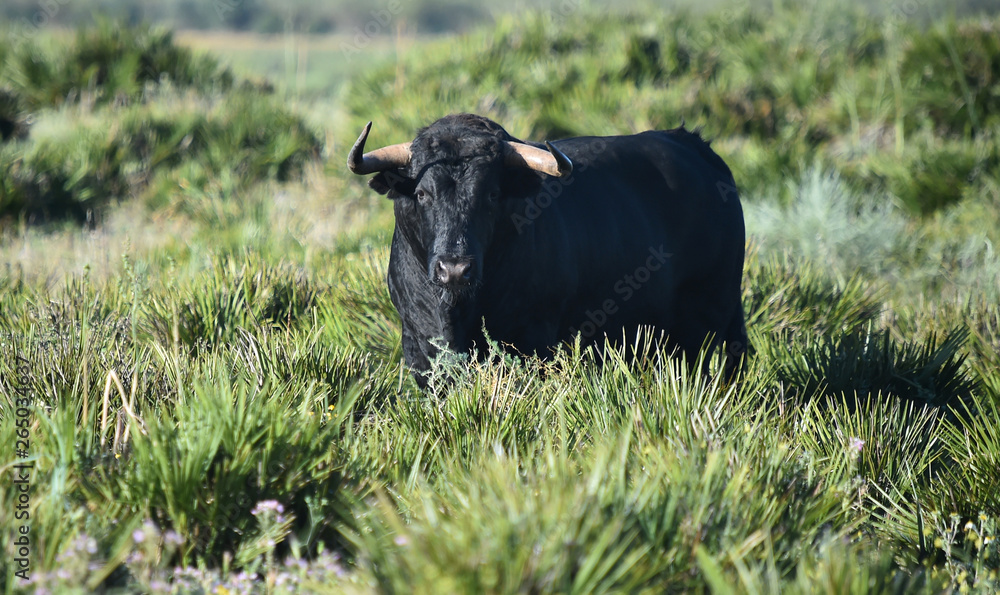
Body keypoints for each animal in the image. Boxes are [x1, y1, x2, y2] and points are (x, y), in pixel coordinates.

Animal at [348, 113, 747, 388]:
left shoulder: (533, 341)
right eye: (421, 194)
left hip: (706, 320)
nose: (455, 269)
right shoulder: (419, 346)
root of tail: (694, 146)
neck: (459, 310)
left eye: (491, 194)